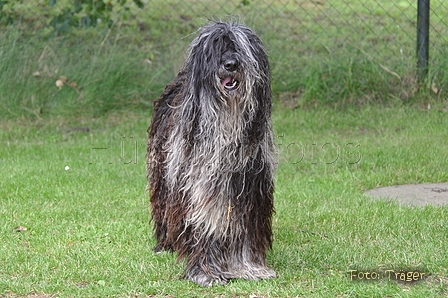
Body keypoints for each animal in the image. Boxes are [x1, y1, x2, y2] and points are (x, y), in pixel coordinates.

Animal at [146, 21, 276, 286]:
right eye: (215, 48)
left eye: (240, 48)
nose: (231, 64)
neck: (226, 122)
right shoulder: (197, 188)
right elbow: (205, 225)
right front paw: (205, 272)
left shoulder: (247, 189)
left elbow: (243, 233)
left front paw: (248, 267)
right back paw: (166, 244)